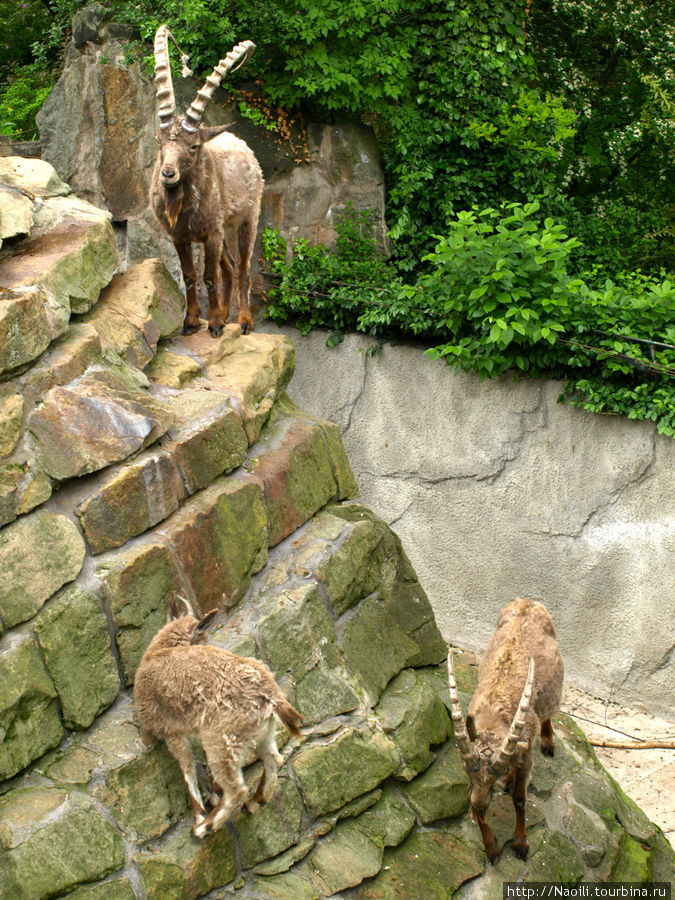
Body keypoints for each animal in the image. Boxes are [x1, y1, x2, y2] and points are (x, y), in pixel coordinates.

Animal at [133, 596, 302, 836]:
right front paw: (213, 793)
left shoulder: (172, 733)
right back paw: (254, 802)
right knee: (273, 760)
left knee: (237, 788)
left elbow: (187, 769)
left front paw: (199, 813)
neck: (157, 653)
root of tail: (271, 696)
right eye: (203, 638)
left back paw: (205, 827)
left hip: (222, 741)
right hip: (259, 735)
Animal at [151, 28, 264, 340]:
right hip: (222, 229)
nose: (168, 174)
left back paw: (243, 320)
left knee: (242, 268)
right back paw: (226, 315)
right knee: (230, 267)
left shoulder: (211, 232)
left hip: (247, 219)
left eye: (193, 146)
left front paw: (212, 324)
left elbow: (209, 276)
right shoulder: (180, 236)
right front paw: (191, 322)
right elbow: (190, 276)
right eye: (160, 142)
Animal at [448, 600, 564, 860]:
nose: (480, 804)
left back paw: (548, 742)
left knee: (549, 714)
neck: (494, 713)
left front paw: (521, 843)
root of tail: (529, 601)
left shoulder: (527, 756)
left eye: (494, 778)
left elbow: (520, 799)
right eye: (466, 771)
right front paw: (491, 847)